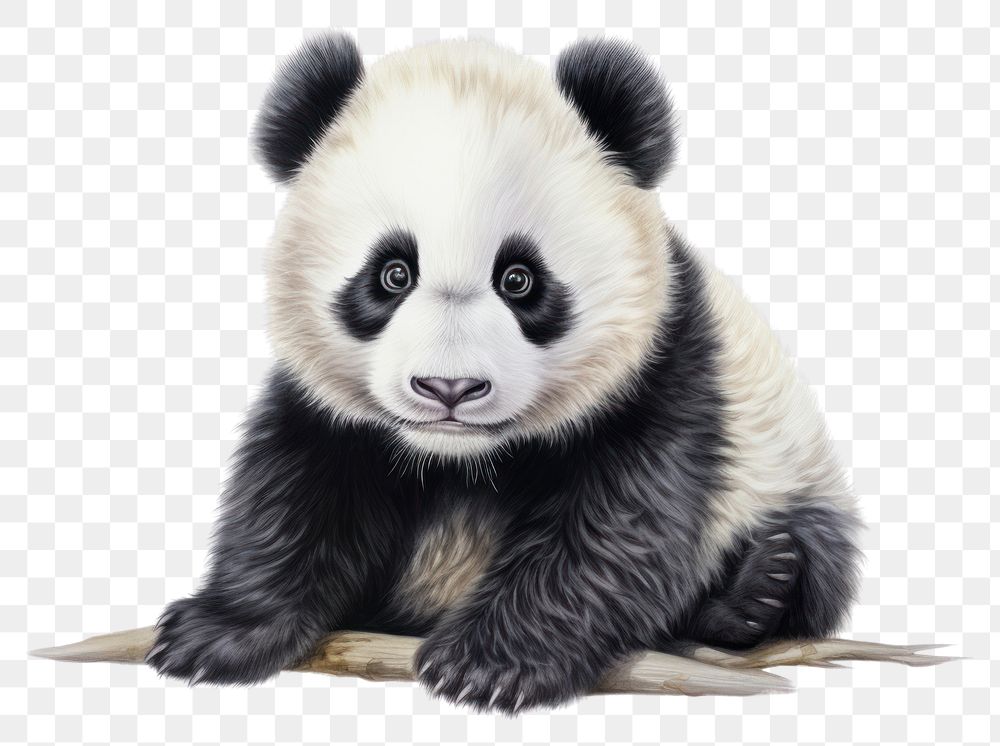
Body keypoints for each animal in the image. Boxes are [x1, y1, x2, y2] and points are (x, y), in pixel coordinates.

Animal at [146, 32, 864, 713]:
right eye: (392, 273)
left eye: (519, 279)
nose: (449, 389)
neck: (461, 459)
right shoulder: (329, 411)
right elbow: (296, 494)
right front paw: (217, 633)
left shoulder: (667, 370)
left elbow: (615, 527)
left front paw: (489, 666)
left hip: (789, 473)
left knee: (816, 559)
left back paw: (759, 589)